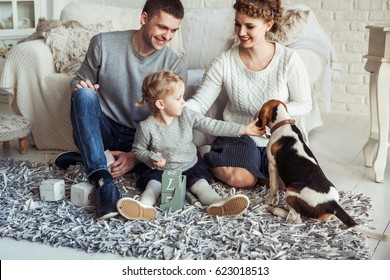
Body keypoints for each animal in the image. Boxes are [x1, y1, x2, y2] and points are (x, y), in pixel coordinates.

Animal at [258, 99, 388, 242]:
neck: (283, 122)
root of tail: (331, 203)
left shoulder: (272, 166)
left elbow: (273, 188)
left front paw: (269, 202)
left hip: (291, 191)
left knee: (295, 218)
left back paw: (276, 211)